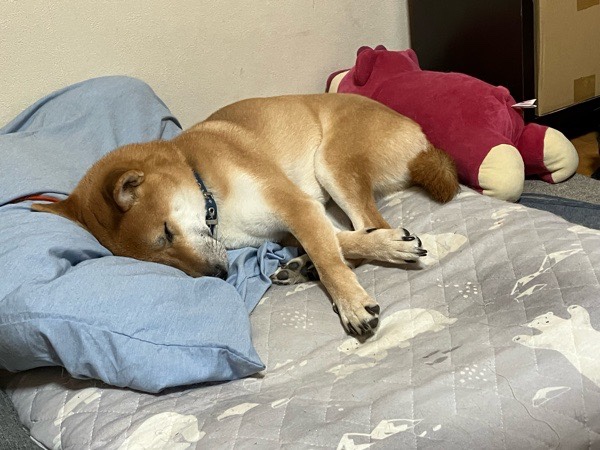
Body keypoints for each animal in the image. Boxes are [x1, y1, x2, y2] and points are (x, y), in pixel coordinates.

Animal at [32, 93, 458, 336]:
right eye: (159, 261)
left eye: (166, 233)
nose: (219, 275)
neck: (206, 187)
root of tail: (422, 138)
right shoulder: (288, 225)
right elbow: (338, 243)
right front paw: (328, 262)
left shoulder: (296, 205)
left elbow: (331, 256)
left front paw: (351, 303)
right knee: (362, 229)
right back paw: (301, 266)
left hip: (331, 163)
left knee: (370, 221)